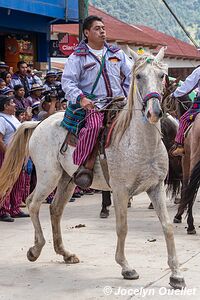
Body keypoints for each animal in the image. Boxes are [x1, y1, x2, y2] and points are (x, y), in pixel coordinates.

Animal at [0, 48, 185, 290]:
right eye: (139, 76)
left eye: (161, 75)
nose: (154, 112)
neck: (138, 141)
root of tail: (39, 123)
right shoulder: (120, 190)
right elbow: (122, 227)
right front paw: (126, 266)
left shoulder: (156, 187)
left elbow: (168, 227)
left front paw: (176, 274)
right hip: (49, 177)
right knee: (32, 203)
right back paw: (35, 249)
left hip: (68, 180)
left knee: (55, 209)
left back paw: (65, 253)